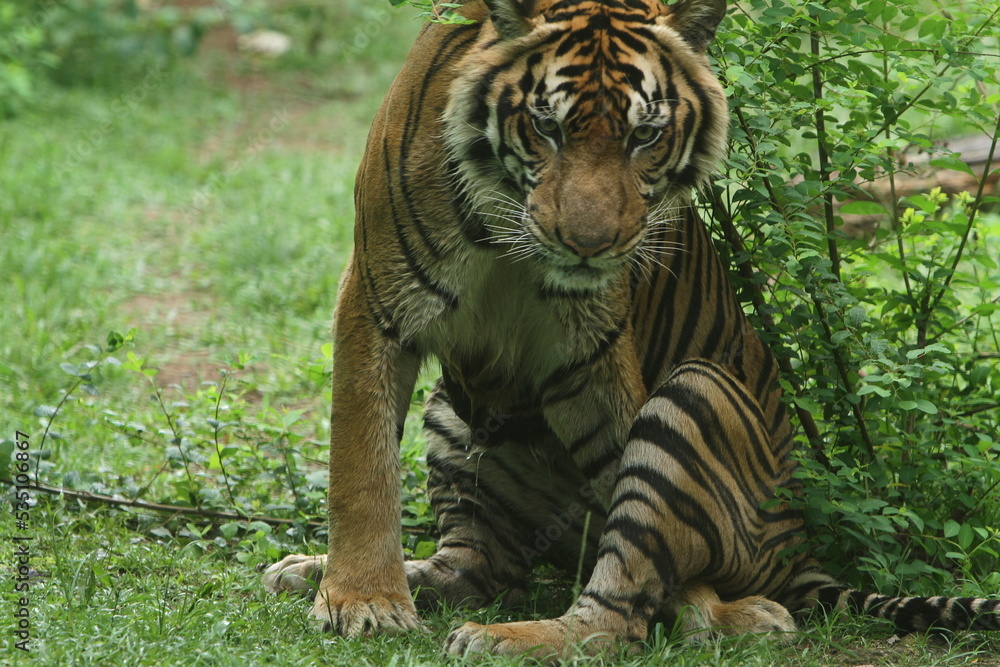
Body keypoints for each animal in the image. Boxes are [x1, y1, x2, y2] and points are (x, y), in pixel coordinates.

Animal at [261, 0, 999, 658]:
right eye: (546, 128)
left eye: (645, 136)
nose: (590, 245)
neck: (506, 225)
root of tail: (800, 544)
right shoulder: (377, 297)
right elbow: (360, 464)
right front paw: (364, 601)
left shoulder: (593, 345)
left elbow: (635, 524)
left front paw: (714, 610)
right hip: (452, 416)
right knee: (475, 565)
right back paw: (322, 573)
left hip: (695, 394)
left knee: (616, 606)